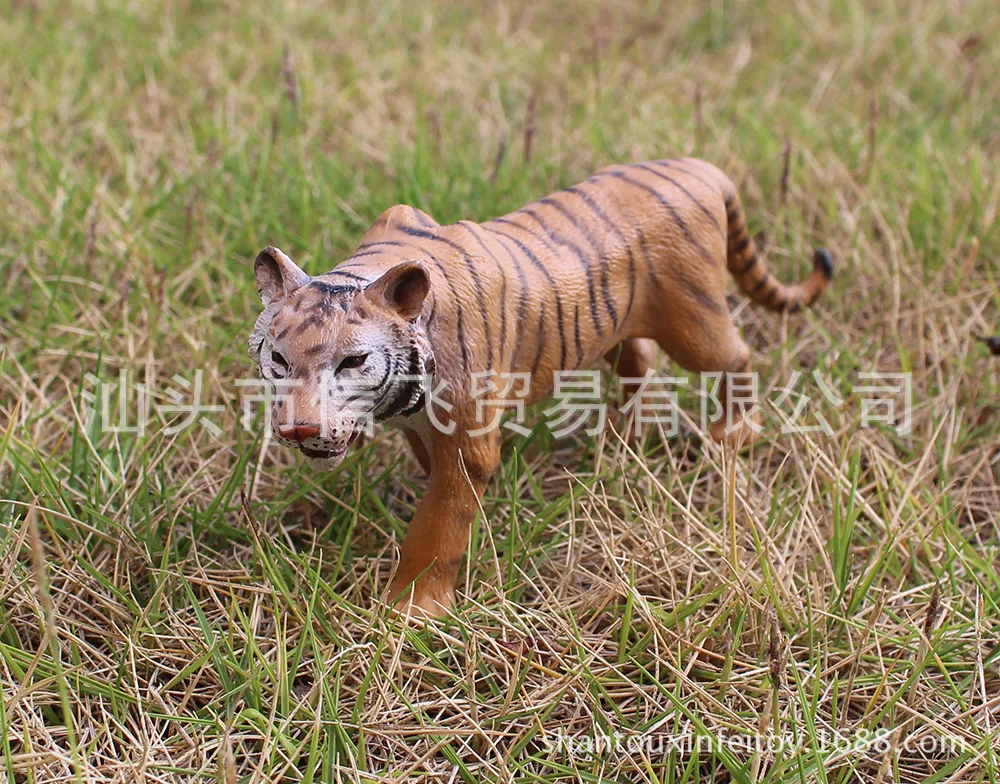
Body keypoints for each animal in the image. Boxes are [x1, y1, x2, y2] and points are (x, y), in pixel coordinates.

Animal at [248, 157, 832, 618]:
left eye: (353, 361)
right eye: (278, 359)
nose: (300, 429)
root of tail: (701, 167)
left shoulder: (468, 438)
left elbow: (440, 523)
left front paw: (413, 610)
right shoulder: (419, 419)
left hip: (695, 320)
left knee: (735, 356)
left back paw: (735, 433)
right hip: (615, 323)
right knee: (639, 360)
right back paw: (620, 441)